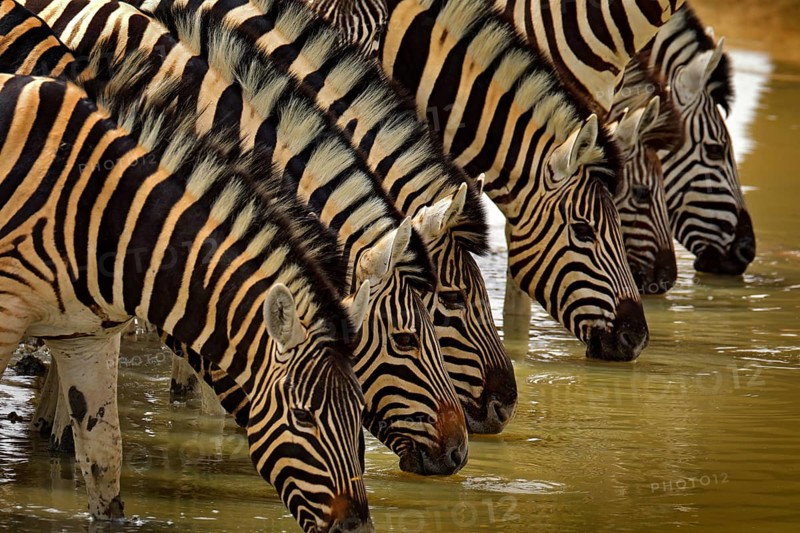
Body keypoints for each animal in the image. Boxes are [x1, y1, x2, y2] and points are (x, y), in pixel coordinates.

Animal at [0, 72, 374, 532]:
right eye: (303, 416)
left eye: (360, 411)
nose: (357, 528)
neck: (108, 217)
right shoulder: (7, 315)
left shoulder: (84, 337)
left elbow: (104, 462)